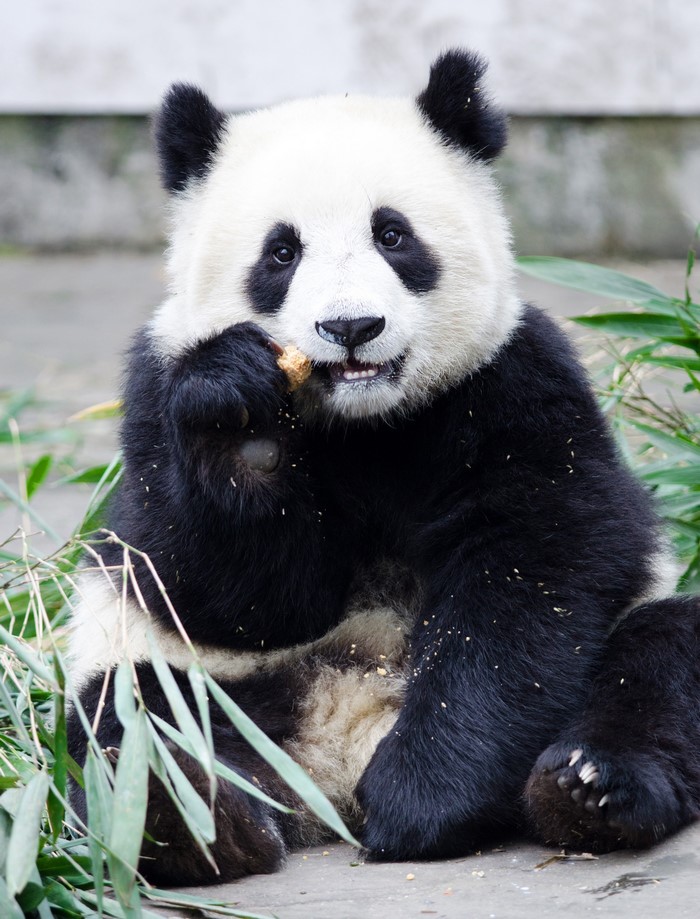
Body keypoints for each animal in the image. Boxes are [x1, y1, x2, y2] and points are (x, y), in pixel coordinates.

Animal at [67, 49, 700, 884]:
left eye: (393, 235)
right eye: (281, 251)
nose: (351, 326)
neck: (364, 421)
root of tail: (338, 746)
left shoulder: (515, 381)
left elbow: (539, 567)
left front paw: (422, 799)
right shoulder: (154, 393)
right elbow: (217, 586)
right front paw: (244, 421)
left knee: (662, 659)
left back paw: (589, 787)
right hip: (203, 681)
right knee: (130, 716)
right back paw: (189, 817)